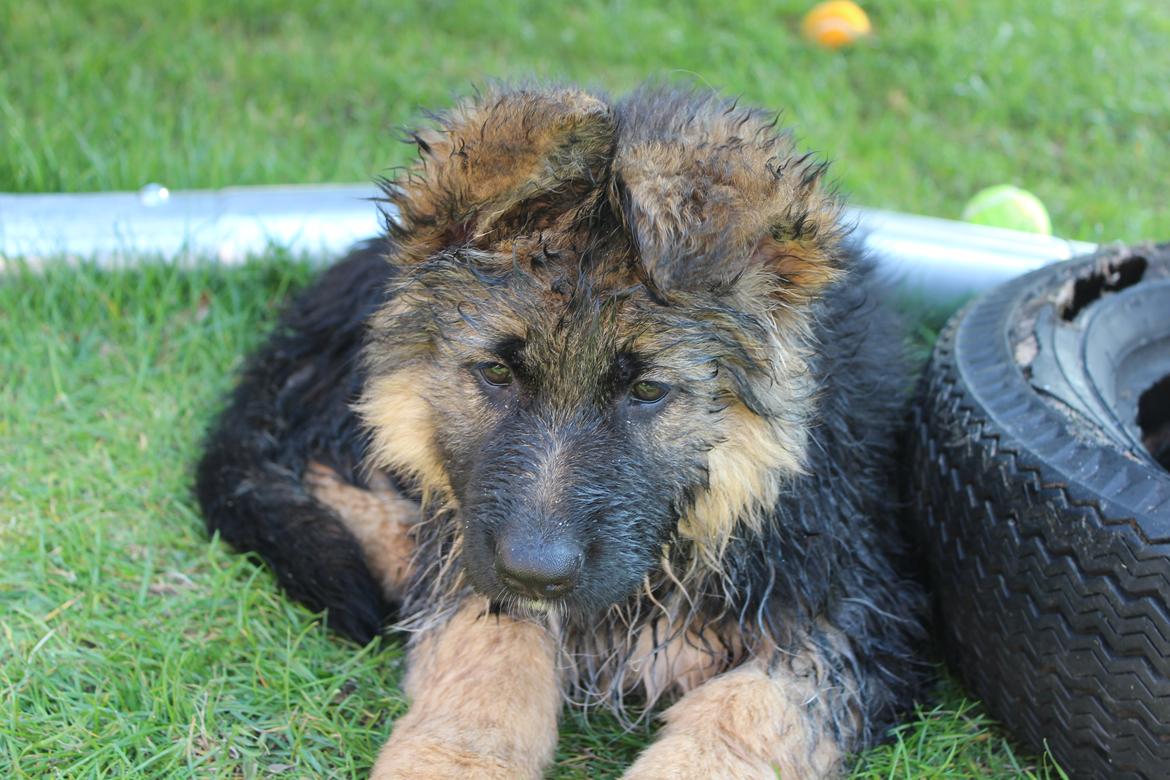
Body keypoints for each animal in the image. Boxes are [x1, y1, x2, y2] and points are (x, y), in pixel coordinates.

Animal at [196, 82, 926, 776]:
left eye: (647, 390)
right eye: (495, 371)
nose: (534, 575)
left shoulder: (854, 616)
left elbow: (742, 716)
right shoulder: (476, 565)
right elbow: (486, 666)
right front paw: (451, 757)